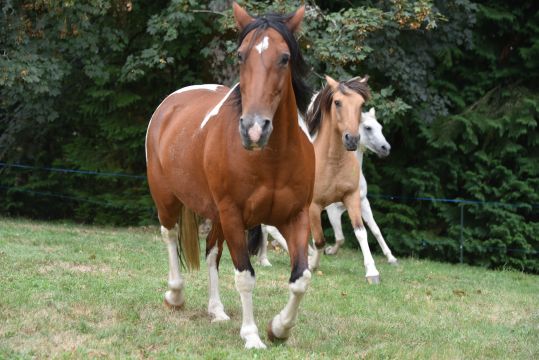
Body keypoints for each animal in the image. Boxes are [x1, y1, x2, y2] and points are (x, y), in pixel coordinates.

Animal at [147, 1, 316, 348]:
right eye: (241, 55)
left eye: (284, 58)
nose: (254, 129)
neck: (271, 160)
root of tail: (170, 103)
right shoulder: (234, 214)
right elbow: (245, 276)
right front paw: (251, 335)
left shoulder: (296, 216)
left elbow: (300, 278)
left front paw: (279, 328)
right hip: (168, 200)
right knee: (170, 236)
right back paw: (175, 295)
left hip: (217, 215)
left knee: (212, 252)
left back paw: (217, 310)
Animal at [260, 107, 398, 276]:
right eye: (368, 128)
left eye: (380, 127)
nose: (386, 148)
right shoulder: (333, 210)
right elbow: (340, 238)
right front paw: (329, 251)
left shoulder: (362, 202)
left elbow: (375, 230)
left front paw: (391, 258)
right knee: (270, 228)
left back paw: (267, 260)